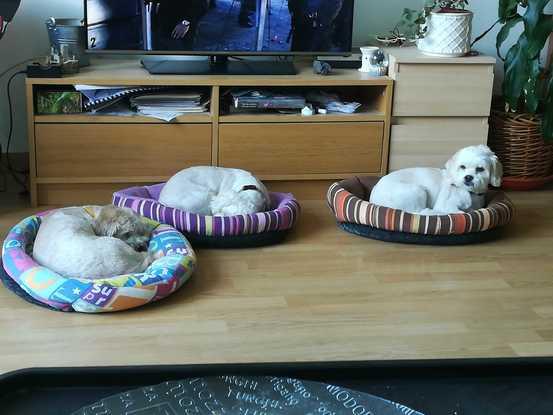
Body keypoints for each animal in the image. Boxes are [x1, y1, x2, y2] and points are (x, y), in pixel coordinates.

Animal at [368, 145, 502, 216]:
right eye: (462, 167)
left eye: (480, 169)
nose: (468, 177)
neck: (468, 192)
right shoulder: (446, 204)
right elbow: (461, 212)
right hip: (417, 191)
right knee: (419, 212)